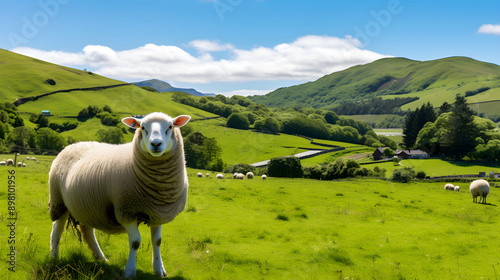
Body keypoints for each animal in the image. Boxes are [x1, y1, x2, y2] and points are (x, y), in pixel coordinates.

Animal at [47, 112, 191, 278]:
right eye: (143, 127)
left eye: (170, 127)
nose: (156, 144)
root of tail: (73, 144)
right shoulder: (126, 211)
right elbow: (135, 242)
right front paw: (130, 271)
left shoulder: (158, 212)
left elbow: (157, 241)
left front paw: (159, 269)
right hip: (59, 201)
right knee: (56, 231)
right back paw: (54, 259)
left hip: (87, 207)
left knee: (87, 232)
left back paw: (101, 258)